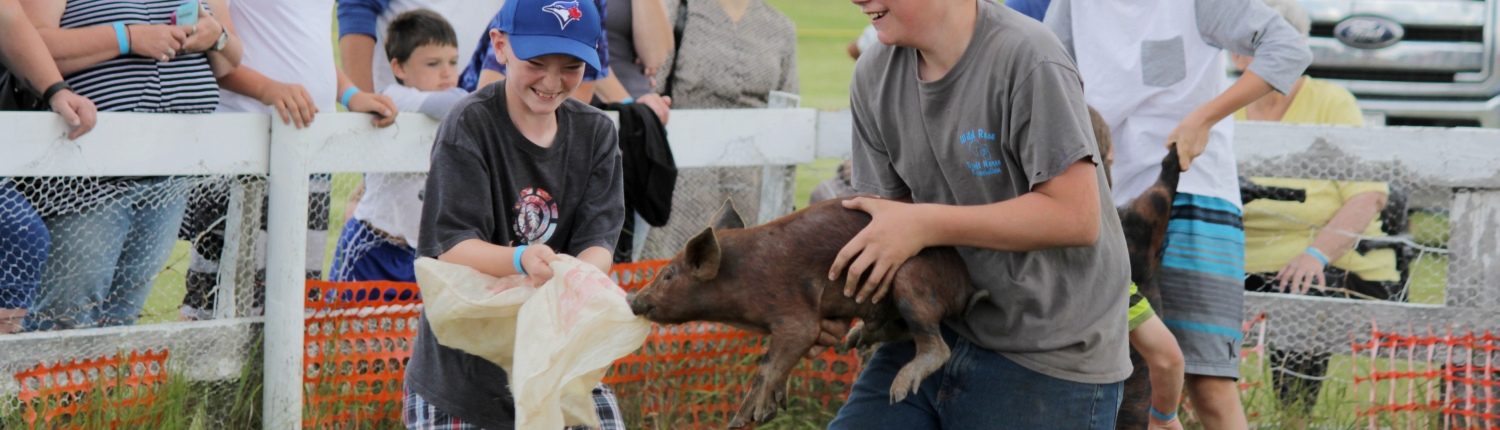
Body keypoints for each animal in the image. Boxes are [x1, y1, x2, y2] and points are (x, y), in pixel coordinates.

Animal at [624, 200, 966, 428]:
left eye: (668, 275)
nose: (632, 298)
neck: (738, 278)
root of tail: (967, 285)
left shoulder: (795, 315)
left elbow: (768, 366)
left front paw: (748, 419)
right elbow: (779, 363)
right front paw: (773, 408)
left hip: (909, 280)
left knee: (936, 346)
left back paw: (897, 391)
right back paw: (854, 340)